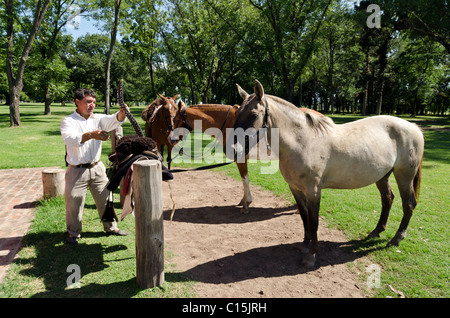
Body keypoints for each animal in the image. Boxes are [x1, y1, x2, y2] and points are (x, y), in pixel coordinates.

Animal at [230, 80, 424, 268]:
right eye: (237, 112)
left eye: (254, 115)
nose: (233, 149)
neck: (303, 141)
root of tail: (413, 127)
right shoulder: (296, 189)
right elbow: (304, 217)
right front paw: (305, 245)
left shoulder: (314, 190)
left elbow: (314, 221)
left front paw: (312, 255)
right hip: (383, 176)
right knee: (388, 199)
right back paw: (376, 231)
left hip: (404, 176)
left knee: (408, 204)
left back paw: (397, 238)